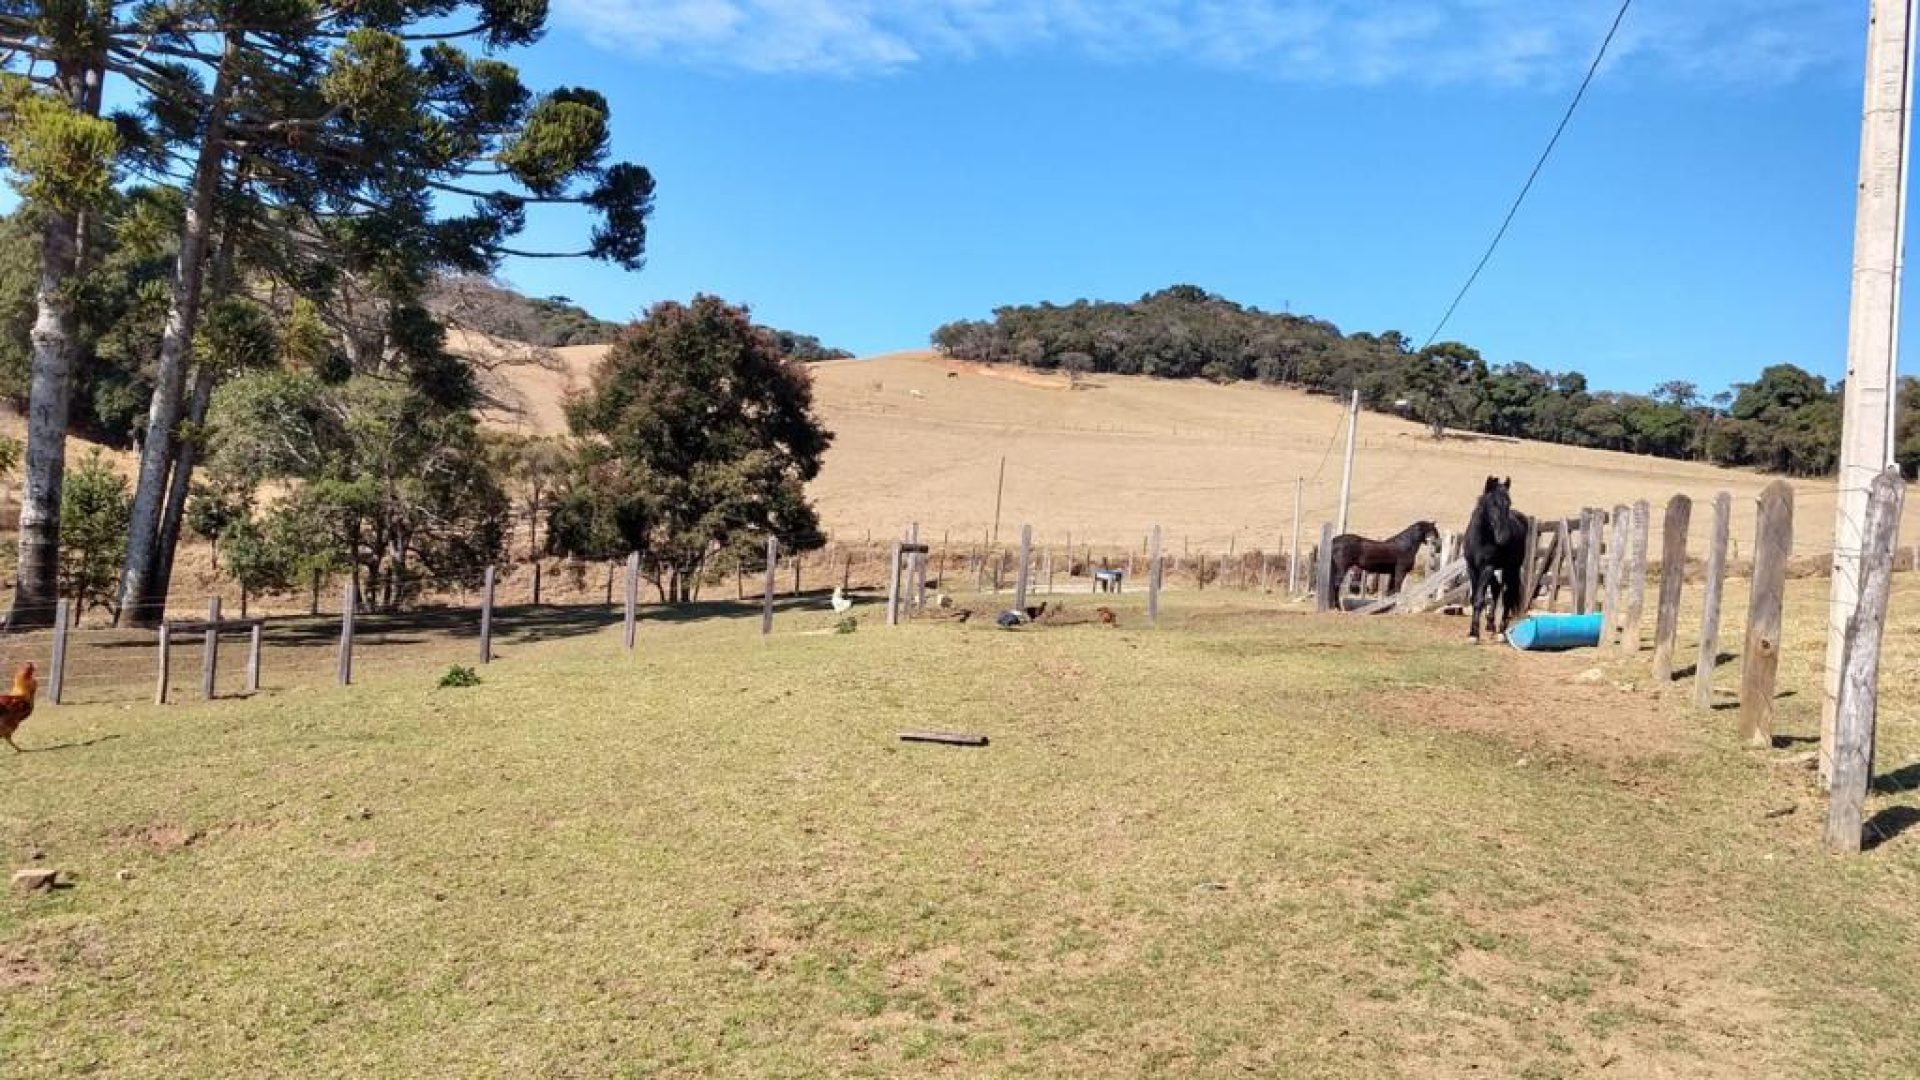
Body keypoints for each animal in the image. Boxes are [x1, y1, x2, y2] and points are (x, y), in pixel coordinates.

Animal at [1466, 472, 1528, 638]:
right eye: (1492, 504)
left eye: (1509, 503)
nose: (1504, 537)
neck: (1480, 539)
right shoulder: (1472, 568)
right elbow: (1474, 598)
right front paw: (1472, 631)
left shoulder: (1487, 567)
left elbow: (1479, 599)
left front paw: (1474, 634)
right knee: (1496, 588)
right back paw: (1490, 624)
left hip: (1510, 569)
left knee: (1507, 595)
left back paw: (1501, 631)